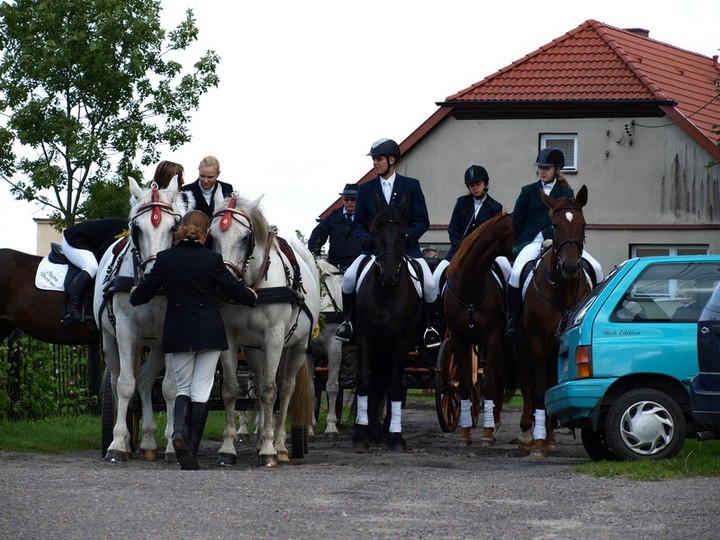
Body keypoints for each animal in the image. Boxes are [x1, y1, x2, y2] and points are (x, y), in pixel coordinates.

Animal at [93, 178, 191, 464]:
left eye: (174, 227)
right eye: (137, 228)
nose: (155, 275)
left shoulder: (171, 333)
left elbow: (169, 388)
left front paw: (172, 446)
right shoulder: (126, 330)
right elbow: (126, 385)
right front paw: (117, 444)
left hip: (155, 344)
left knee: (146, 381)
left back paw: (148, 440)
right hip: (111, 340)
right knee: (117, 381)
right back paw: (125, 439)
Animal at [210, 195, 320, 468]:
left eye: (245, 237)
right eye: (212, 235)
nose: (223, 286)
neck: (250, 287)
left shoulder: (274, 338)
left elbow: (271, 391)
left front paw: (269, 451)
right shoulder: (230, 338)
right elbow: (231, 390)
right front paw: (228, 448)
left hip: (297, 346)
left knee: (286, 387)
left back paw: (279, 445)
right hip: (254, 350)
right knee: (259, 384)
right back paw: (261, 438)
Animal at [352, 194, 422, 452]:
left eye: (403, 235)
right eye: (377, 234)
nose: (390, 276)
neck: (385, 293)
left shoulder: (400, 345)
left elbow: (395, 388)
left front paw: (396, 437)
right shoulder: (365, 340)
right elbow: (365, 384)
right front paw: (361, 435)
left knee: (392, 384)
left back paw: (386, 429)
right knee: (376, 384)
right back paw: (373, 432)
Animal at [442, 213, 520, 446]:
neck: (470, 287)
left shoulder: (492, 339)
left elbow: (489, 384)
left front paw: (487, 432)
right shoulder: (459, 340)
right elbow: (465, 384)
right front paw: (465, 432)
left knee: (497, 380)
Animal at [516, 185, 592, 456]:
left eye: (583, 224)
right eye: (555, 225)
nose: (570, 267)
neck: (563, 291)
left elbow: (554, 389)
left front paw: (548, 439)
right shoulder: (536, 343)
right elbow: (539, 390)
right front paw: (538, 444)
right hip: (523, 348)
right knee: (528, 383)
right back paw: (527, 433)